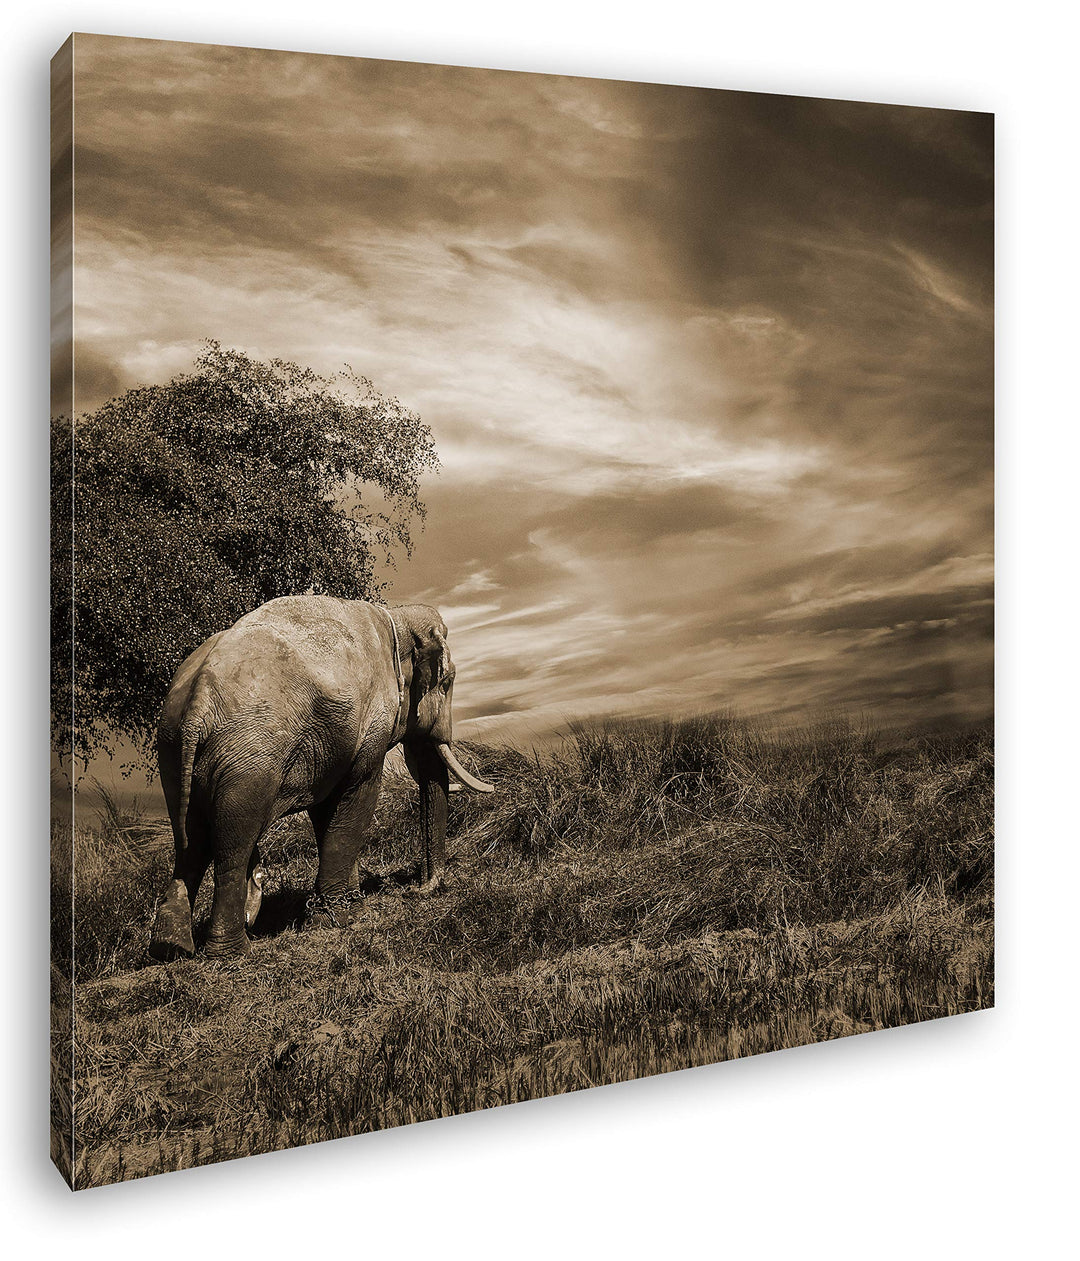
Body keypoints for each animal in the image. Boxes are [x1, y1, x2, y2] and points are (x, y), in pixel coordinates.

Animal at [148, 596, 493, 961]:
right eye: (448, 681)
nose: (416, 889)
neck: (396, 618)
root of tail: (198, 701)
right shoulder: (370, 724)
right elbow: (359, 792)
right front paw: (342, 918)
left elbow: (326, 808)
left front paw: (347, 905)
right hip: (247, 758)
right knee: (232, 843)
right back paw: (232, 952)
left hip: (172, 753)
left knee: (190, 841)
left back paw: (170, 949)